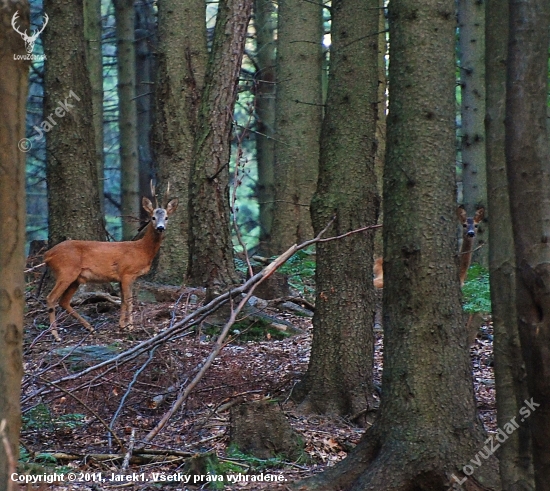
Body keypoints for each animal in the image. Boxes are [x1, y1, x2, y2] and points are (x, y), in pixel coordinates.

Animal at [46, 186, 179, 340]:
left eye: (166, 217)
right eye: (153, 217)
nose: (160, 227)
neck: (141, 250)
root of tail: (47, 255)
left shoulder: (121, 277)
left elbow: (122, 301)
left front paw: (121, 326)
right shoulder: (127, 273)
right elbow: (129, 300)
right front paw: (130, 326)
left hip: (76, 278)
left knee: (64, 301)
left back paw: (90, 327)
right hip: (66, 271)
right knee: (51, 298)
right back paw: (56, 335)